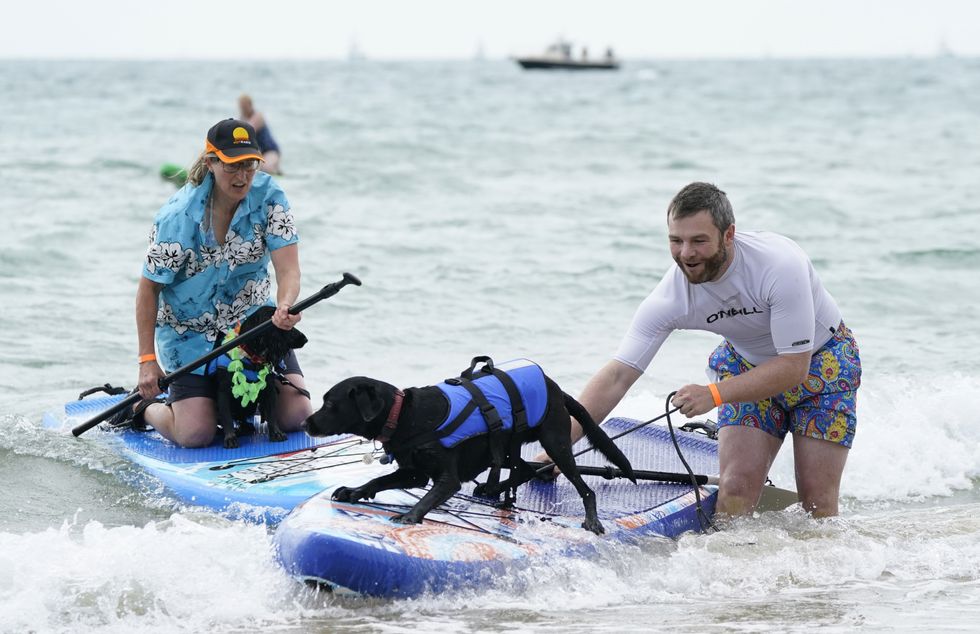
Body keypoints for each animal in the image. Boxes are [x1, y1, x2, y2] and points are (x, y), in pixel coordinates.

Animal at [211, 304, 306, 446]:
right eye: (287, 327)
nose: (305, 339)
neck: (252, 358)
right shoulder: (223, 392)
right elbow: (226, 416)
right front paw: (230, 438)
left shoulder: (269, 389)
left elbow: (272, 414)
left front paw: (276, 433)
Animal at [302, 356, 636, 532]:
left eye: (329, 403)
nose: (305, 424)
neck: (404, 414)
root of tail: (556, 388)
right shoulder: (413, 473)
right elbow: (379, 479)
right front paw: (354, 491)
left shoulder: (446, 478)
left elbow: (429, 496)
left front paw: (411, 515)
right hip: (510, 448)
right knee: (524, 470)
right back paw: (494, 488)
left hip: (556, 443)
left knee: (585, 489)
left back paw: (592, 520)